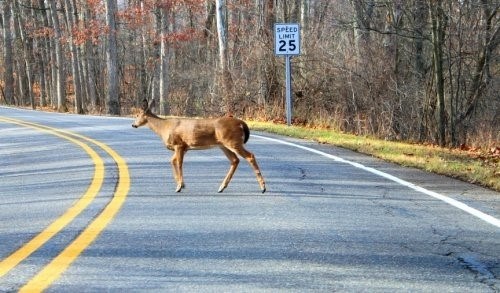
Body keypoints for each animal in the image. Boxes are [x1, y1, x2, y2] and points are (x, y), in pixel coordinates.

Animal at [132, 99, 266, 193]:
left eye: (138, 115)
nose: (133, 125)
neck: (163, 128)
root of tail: (242, 123)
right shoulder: (184, 148)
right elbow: (172, 161)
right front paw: (181, 184)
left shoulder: (179, 144)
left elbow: (178, 163)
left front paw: (179, 186)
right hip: (224, 145)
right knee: (235, 160)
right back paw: (222, 187)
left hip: (233, 141)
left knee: (250, 156)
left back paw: (263, 187)